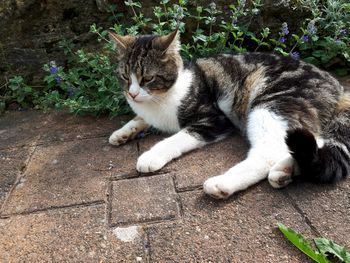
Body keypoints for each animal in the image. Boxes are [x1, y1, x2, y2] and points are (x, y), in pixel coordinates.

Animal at [108, 29, 348, 199]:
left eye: (148, 78)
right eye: (125, 76)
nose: (132, 94)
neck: (161, 98)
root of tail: (338, 86)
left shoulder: (213, 120)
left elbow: (177, 138)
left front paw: (151, 156)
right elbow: (139, 119)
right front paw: (122, 132)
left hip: (270, 105)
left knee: (269, 153)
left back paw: (222, 184)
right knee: (312, 140)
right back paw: (285, 170)